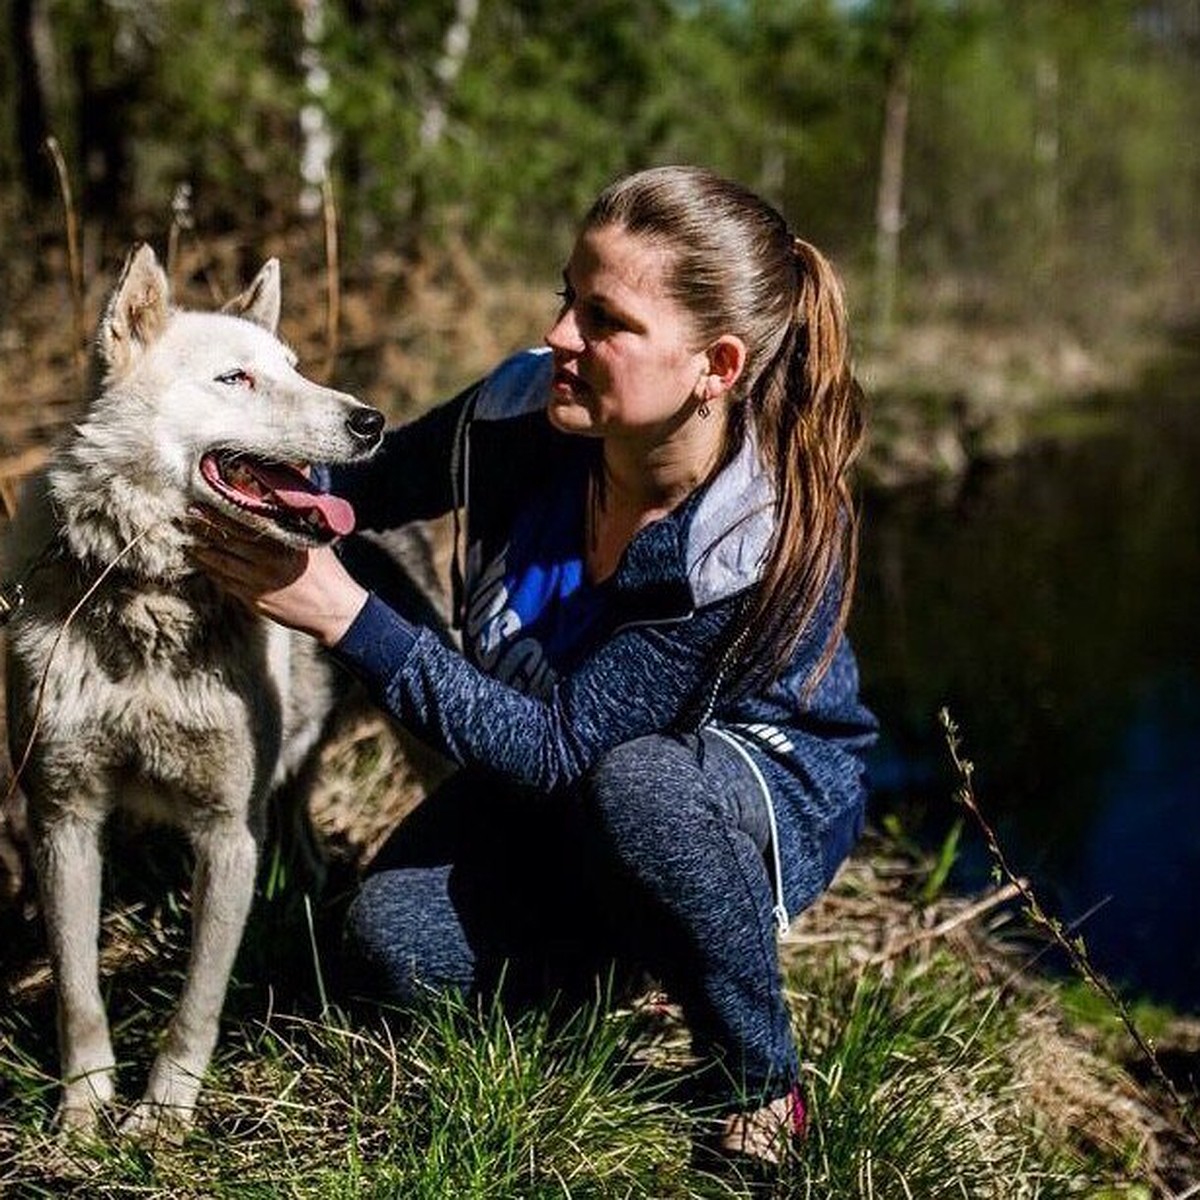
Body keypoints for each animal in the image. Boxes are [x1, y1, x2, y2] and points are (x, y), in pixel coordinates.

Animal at [3, 243, 384, 1132]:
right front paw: (84, 1119)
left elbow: (197, 1003)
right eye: (234, 379)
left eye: (294, 369)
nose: (370, 421)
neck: (150, 596)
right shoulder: (63, 815)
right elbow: (78, 993)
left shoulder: (226, 832)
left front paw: (163, 1117)